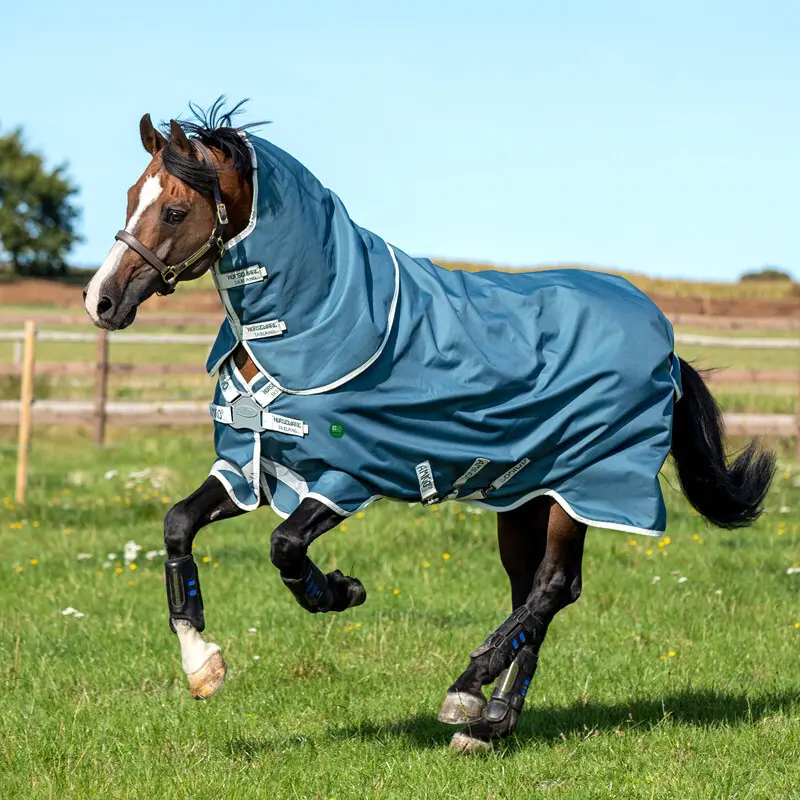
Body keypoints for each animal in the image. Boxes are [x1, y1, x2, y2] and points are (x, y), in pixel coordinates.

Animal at [83, 101, 775, 753]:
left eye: (175, 211)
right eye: (131, 197)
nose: (101, 301)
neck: (317, 323)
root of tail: (666, 346)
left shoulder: (347, 476)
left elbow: (283, 546)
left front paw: (339, 591)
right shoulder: (254, 466)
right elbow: (178, 523)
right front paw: (203, 666)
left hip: (584, 487)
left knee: (553, 587)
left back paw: (471, 689)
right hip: (524, 495)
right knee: (534, 591)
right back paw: (490, 722)